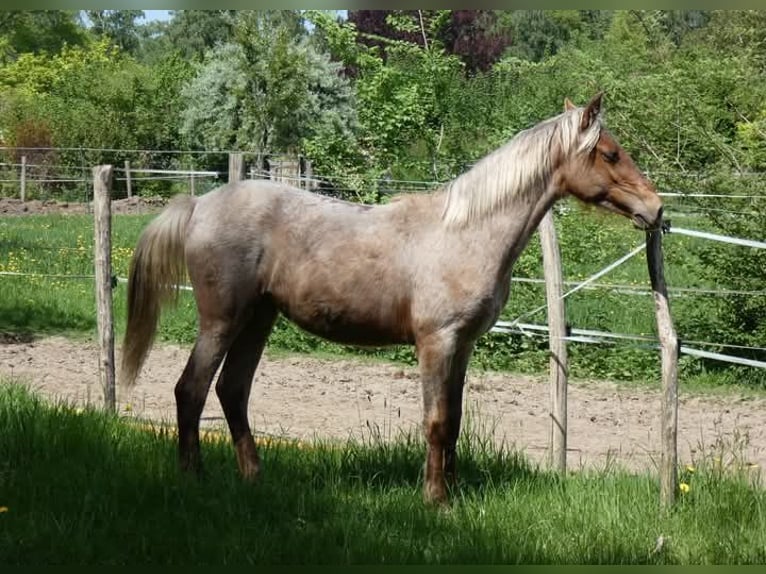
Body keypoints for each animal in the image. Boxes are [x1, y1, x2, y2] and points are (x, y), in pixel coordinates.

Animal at [120, 93, 663, 504]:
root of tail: (198, 204)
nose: (656, 210)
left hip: (259, 319)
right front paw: (436, 500)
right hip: (222, 320)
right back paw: (194, 478)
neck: (464, 232)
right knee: (190, 389)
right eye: (609, 154)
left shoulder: (462, 346)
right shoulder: (436, 343)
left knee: (232, 391)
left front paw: (453, 492)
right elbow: (437, 421)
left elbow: (456, 420)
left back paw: (255, 477)